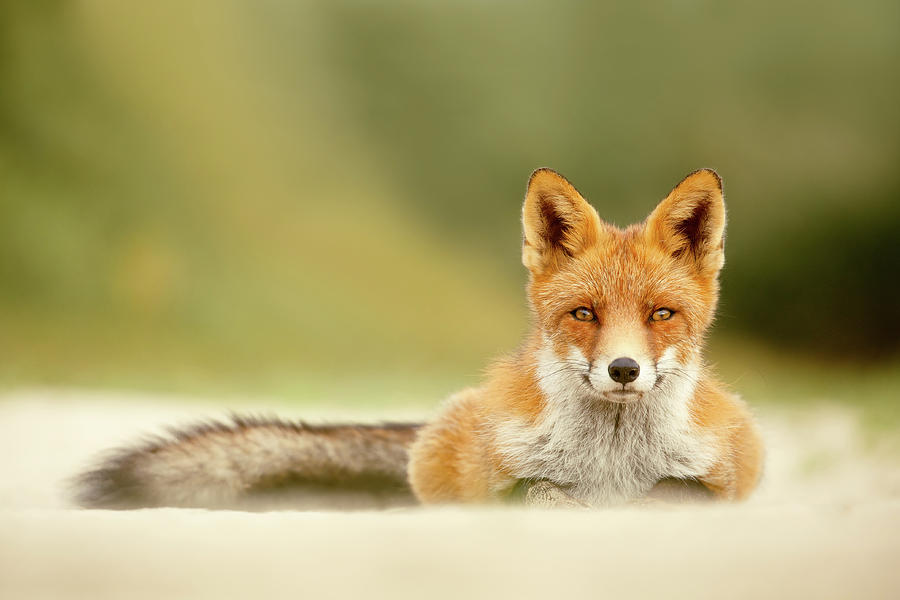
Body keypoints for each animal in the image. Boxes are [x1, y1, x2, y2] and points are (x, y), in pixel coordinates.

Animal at [74, 169, 768, 510]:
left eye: (660, 314)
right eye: (584, 313)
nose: (623, 369)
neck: (611, 463)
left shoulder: (725, 475)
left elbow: (672, 492)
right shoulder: (498, 477)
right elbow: (540, 493)